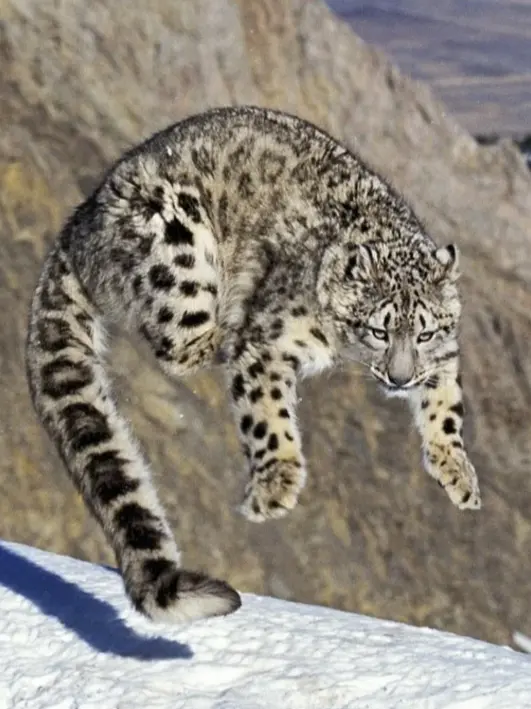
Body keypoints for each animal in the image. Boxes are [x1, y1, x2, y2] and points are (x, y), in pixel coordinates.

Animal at [26, 105, 480, 624]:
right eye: (378, 330)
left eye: (424, 332)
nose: (400, 378)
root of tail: (81, 219)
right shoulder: (270, 343)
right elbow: (268, 416)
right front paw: (275, 487)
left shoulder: (443, 357)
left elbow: (446, 407)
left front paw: (458, 474)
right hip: (178, 248)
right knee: (181, 346)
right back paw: (226, 326)